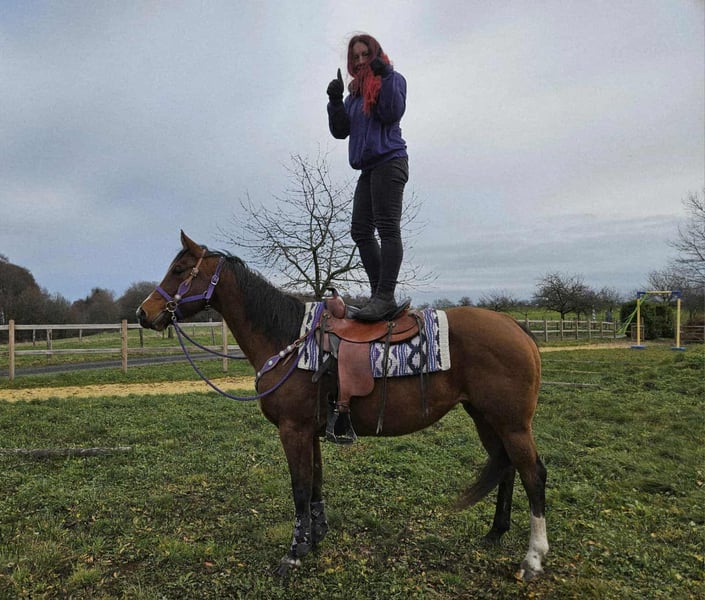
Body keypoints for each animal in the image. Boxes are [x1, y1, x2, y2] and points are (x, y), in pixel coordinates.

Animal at [136, 231, 549, 582]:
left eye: (178, 270)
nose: (143, 312)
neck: (288, 340)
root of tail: (515, 326)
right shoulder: (311, 431)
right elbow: (316, 484)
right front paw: (315, 537)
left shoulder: (293, 430)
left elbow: (300, 488)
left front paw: (293, 554)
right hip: (485, 418)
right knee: (506, 467)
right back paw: (494, 534)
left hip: (512, 423)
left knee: (533, 475)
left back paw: (532, 560)